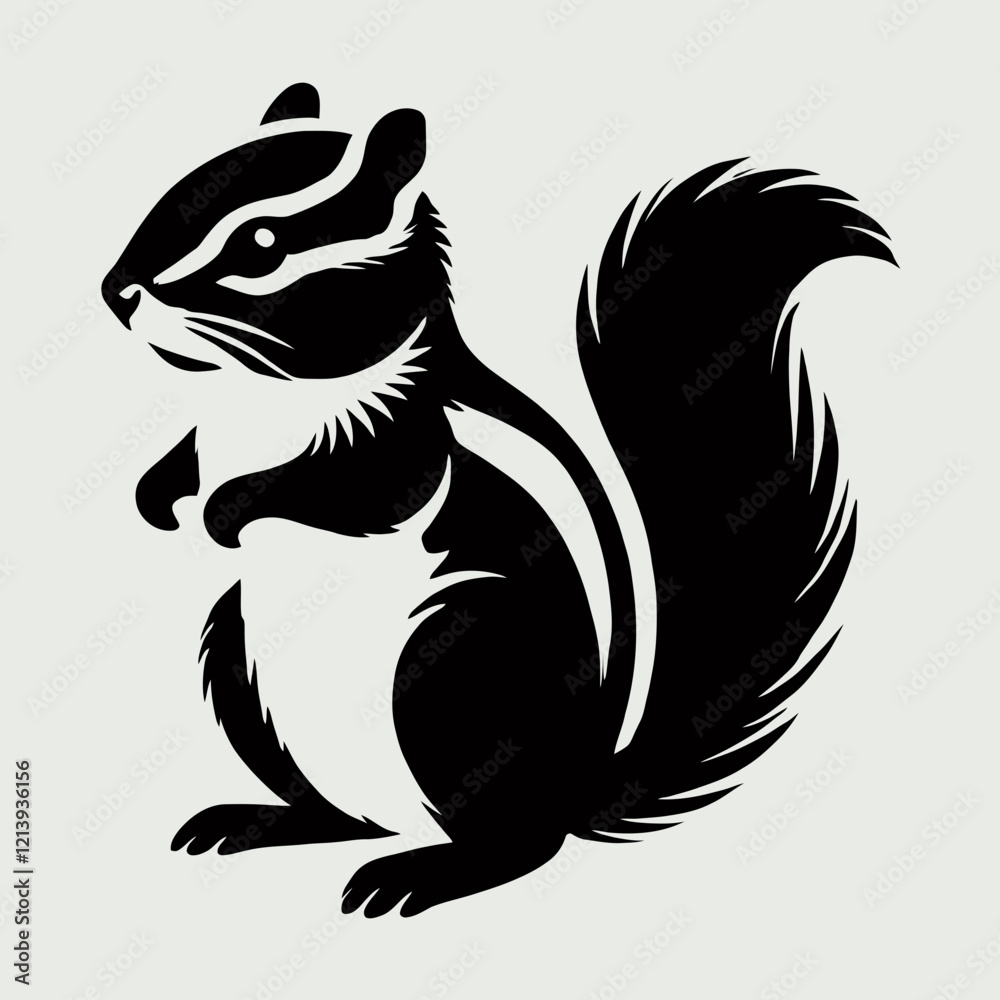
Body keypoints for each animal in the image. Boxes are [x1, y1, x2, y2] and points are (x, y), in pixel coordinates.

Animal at [100, 82, 894, 917]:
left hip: (457, 666)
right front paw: (159, 497)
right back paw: (266, 820)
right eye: (174, 191)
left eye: (260, 244)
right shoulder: (208, 435)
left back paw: (425, 872)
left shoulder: (403, 440)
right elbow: (182, 458)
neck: (260, 392)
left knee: (519, 846)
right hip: (235, 649)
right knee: (338, 813)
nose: (116, 292)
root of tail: (578, 786)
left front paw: (226, 512)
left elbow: (351, 492)